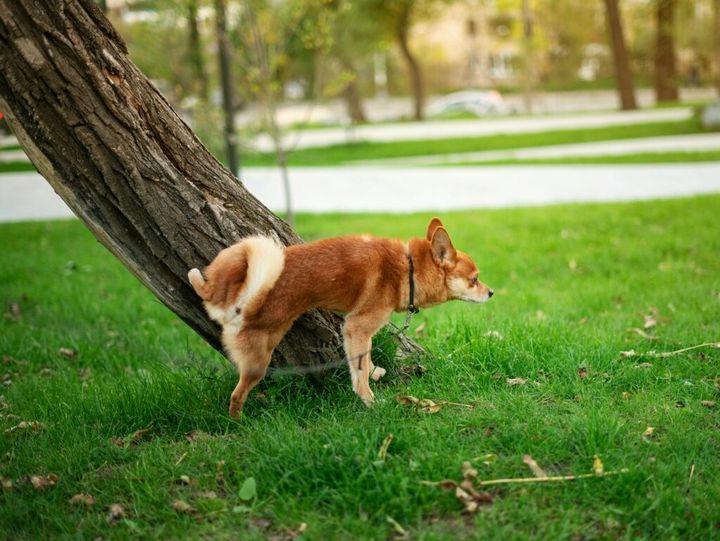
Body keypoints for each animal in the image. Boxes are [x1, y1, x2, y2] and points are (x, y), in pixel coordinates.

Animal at [186, 217, 492, 416]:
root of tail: (236, 305)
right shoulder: (358, 327)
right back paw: (237, 422)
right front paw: (370, 402)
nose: (490, 293)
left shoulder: (354, 333)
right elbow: (360, 375)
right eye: (475, 280)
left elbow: (363, 361)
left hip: (234, 261)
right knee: (236, 396)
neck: (406, 268)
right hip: (258, 361)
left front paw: (375, 371)